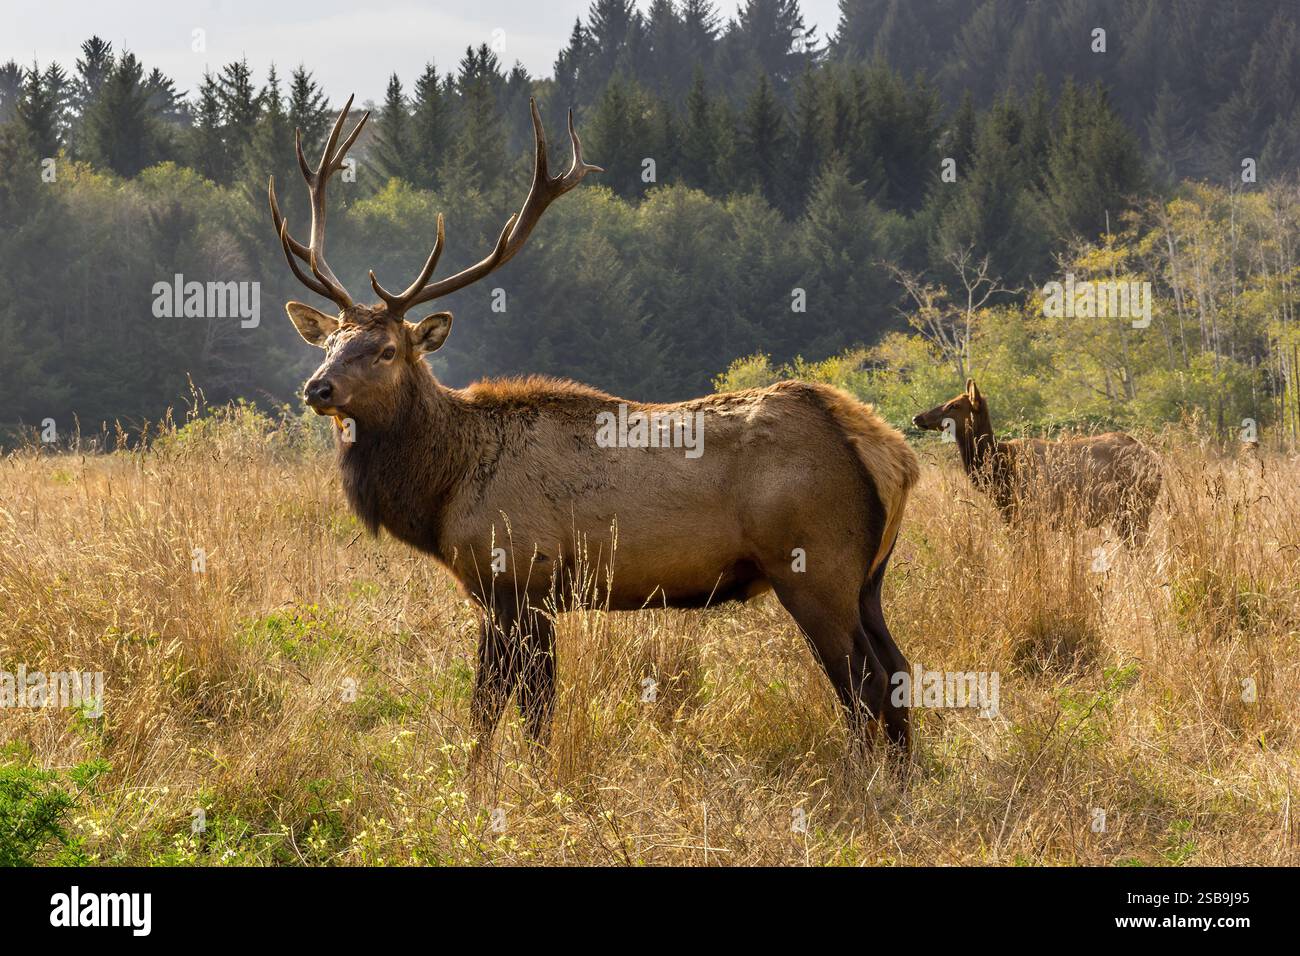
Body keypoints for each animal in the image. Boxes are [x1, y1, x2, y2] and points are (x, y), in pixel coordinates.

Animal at [268, 96, 921, 757]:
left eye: (385, 351)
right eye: (329, 343)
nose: (317, 389)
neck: (442, 492)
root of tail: (891, 453)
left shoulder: (520, 579)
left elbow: (512, 707)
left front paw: (507, 781)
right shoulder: (504, 595)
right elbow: (504, 707)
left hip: (815, 567)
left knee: (863, 681)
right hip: (867, 579)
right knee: (897, 670)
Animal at [912, 380, 1162, 544]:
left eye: (954, 405)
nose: (917, 417)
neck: (998, 469)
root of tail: (1156, 460)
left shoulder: (1023, 515)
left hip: (1133, 510)